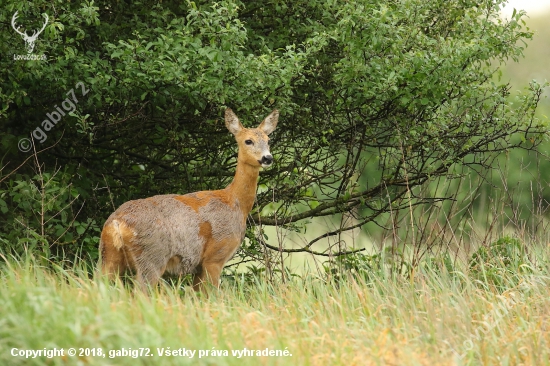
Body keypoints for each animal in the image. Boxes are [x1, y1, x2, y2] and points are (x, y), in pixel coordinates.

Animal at [98, 107, 280, 290]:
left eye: (268, 140)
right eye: (248, 141)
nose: (267, 158)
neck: (235, 203)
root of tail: (116, 223)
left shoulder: (198, 266)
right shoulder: (215, 255)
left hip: (108, 255)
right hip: (152, 255)